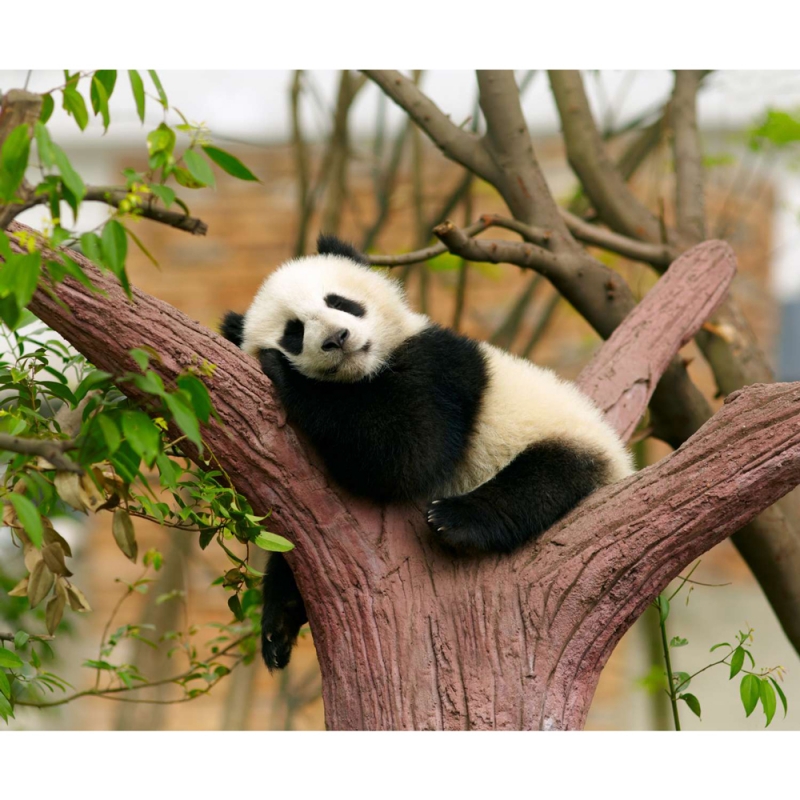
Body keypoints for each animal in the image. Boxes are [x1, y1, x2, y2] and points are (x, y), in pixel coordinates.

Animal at [221, 233, 633, 670]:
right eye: (294, 332)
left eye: (339, 302)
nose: (337, 338)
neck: (365, 372)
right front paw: (279, 621)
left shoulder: (439, 367)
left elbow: (406, 453)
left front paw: (284, 373)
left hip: (566, 437)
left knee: (543, 479)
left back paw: (457, 519)